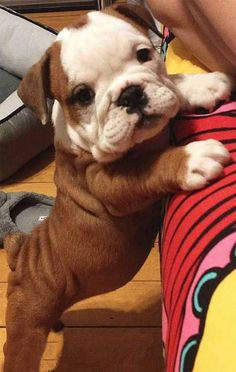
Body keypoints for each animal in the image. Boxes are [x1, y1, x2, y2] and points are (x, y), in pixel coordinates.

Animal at [3, 3, 232, 372]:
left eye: (144, 55)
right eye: (83, 95)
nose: (130, 94)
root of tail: (20, 256)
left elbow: (172, 86)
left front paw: (202, 85)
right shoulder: (110, 185)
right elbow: (151, 166)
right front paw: (194, 157)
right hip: (27, 327)